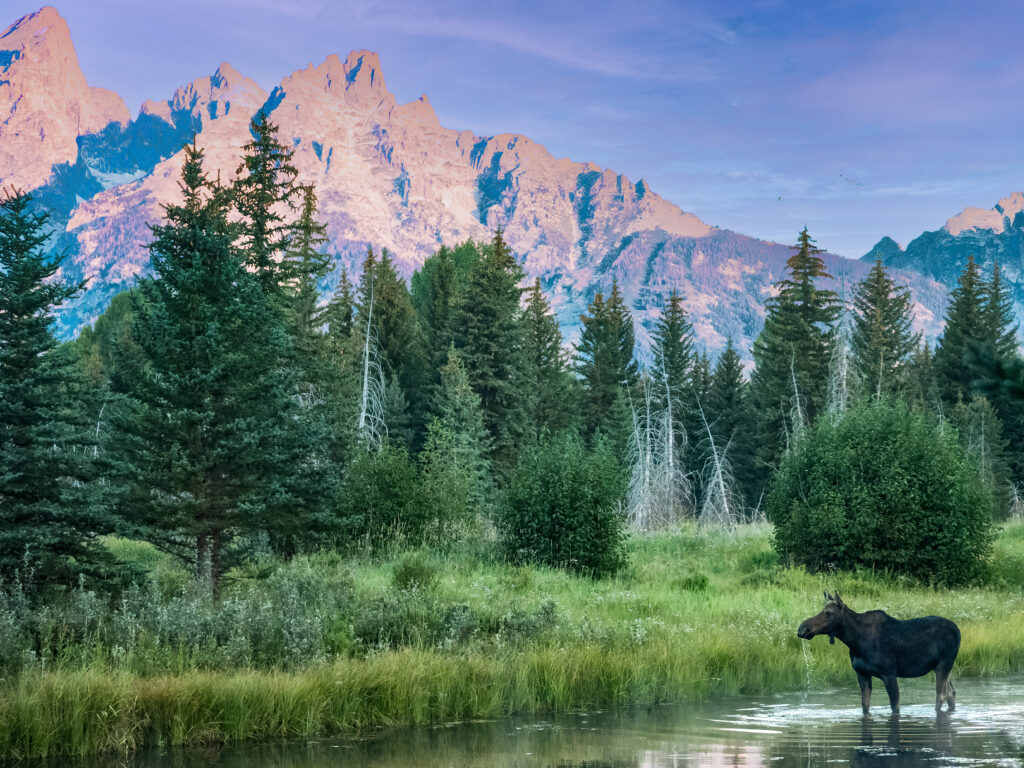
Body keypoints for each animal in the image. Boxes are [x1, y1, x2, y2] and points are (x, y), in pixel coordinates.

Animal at [798, 593, 958, 716]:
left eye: (828, 613)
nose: (802, 628)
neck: (854, 641)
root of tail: (958, 631)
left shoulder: (889, 674)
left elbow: (895, 707)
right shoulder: (862, 673)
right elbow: (865, 706)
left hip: (944, 664)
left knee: (941, 696)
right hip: (941, 667)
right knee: (951, 693)